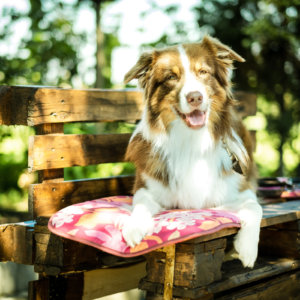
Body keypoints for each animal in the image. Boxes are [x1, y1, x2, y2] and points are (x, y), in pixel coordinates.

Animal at [120, 35, 262, 268]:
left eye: (203, 72)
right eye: (171, 77)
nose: (195, 97)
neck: (191, 141)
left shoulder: (241, 190)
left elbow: (254, 207)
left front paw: (248, 249)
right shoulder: (147, 188)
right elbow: (140, 202)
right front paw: (134, 226)